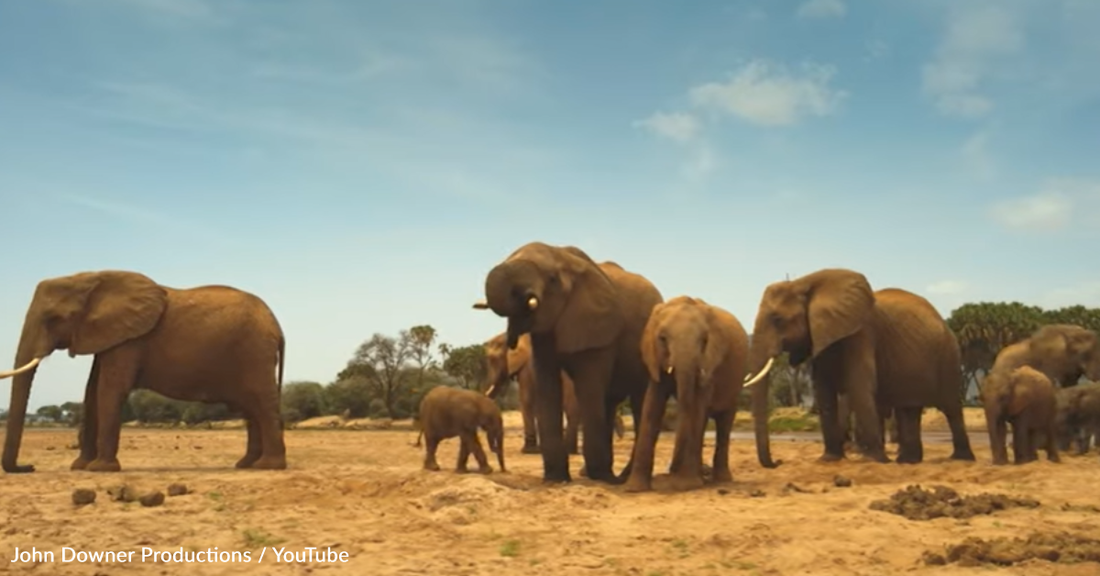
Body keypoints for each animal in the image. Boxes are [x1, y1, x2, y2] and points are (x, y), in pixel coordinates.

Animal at [0, 270, 288, 472]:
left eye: (54, 319)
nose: (29, 467)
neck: (90, 279)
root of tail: (277, 326)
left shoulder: (130, 340)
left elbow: (109, 390)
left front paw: (100, 469)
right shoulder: (111, 336)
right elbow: (91, 391)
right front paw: (80, 467)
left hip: (254, 352)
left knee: (261, 402)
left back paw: (268, 466)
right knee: (251, 408)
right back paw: (246, 464)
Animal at [473, 240, 660, 483]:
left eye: (552, 279)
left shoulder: (599, 327)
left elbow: (586, 389)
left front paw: (598, 477)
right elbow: (547, 389)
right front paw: (556, 479)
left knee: (638, 401)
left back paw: (616, 477)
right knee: (609, 402)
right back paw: (601, 473)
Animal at [629, 294, 748, 492]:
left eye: (705, 341)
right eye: (662, 338)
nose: (670, 471)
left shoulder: (709, 362)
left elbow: (697, 407)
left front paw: (685, 485)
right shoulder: (654, 359)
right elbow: (652, 406)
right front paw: (635, 488)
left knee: (724, 422)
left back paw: (719, 479)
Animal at [743, 271, 976, 468]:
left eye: (777, 320)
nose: (778, 462)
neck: (804, 282)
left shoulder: (861, 332)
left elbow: (859, 387)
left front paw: (874, 461)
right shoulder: (823, 336)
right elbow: (824, 392)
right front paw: (829, 460)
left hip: (948, 354)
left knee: (950, 407)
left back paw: (960, 459)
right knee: (909, 408)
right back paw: (908, 462)